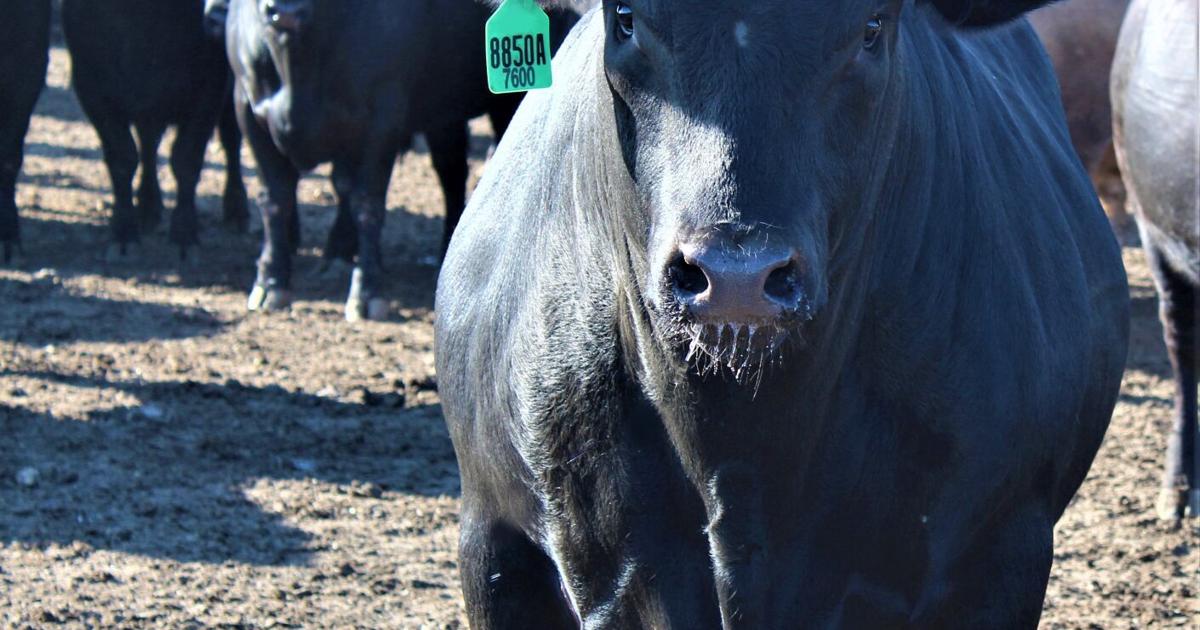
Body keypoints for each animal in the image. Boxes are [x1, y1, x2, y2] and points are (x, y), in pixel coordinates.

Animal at [62, 0, 248, 259]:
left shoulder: (209, 90)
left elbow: (186, 161)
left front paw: (184, 235)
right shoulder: (92, 90)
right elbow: (123, 158)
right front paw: (123, 232)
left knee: (232, 139)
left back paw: (237, 211)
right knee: (148, 142)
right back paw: (148, 207)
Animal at [219, 0, 577, 322]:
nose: (285, 12)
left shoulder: (382, 119)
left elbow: (367, 206)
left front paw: (366, 293)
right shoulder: (246, 108)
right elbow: (276, 200)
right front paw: (271, 282)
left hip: (500, 107)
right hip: (441, 114)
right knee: (450, 172)